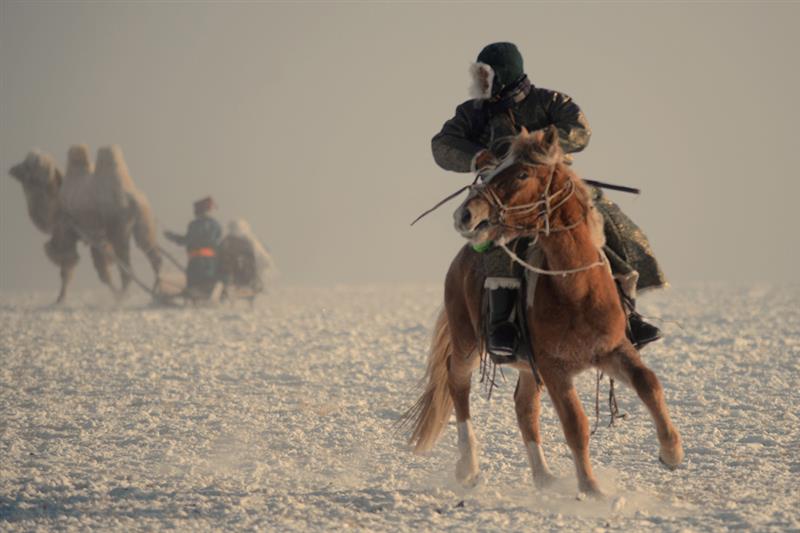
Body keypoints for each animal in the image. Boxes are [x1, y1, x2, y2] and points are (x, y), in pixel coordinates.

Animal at [404, 127, 684, 496]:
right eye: (492, 169)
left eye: (522, 174)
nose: (465, 214)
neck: (577, 289)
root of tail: (462, 258)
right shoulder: (554, 369)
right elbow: (575, 424)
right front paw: (591, 489)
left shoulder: (613, 350)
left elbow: (649, 384)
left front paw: (672, 451)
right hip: (467, 341)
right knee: (458, 385)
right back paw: (468, 467)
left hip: (526, 367)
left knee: (524, 407)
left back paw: (544, 477)